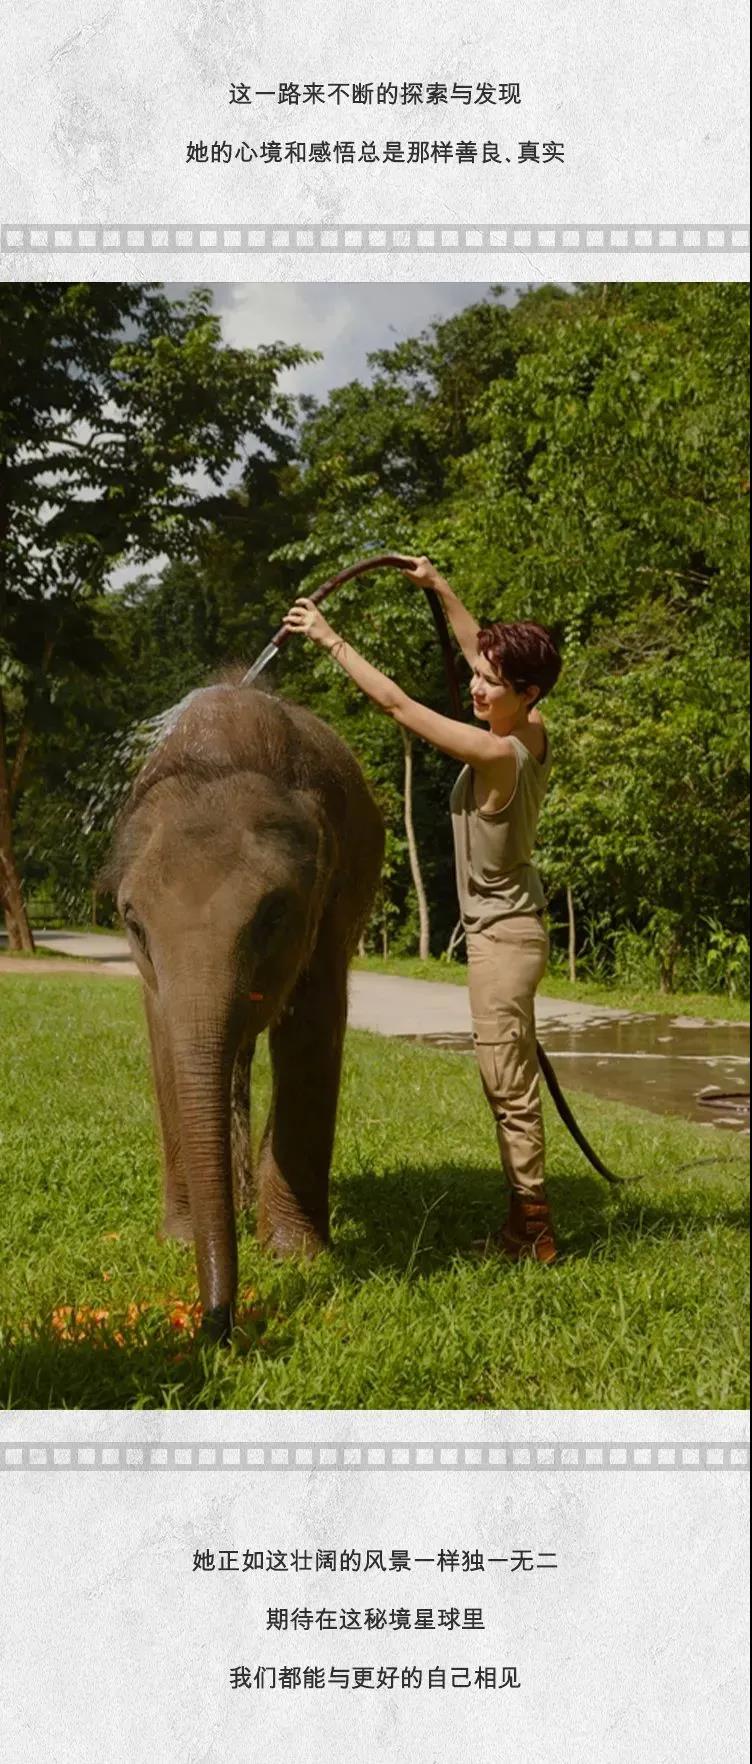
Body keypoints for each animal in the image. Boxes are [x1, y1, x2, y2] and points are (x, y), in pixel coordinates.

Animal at [99, 672, 384, 1342]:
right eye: (132, 923)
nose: (218, 1324)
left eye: (273, 915)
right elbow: (167, 1041)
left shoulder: (330, 909)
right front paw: (181, 1242)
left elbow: (312, 1028)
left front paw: (293, 1256)